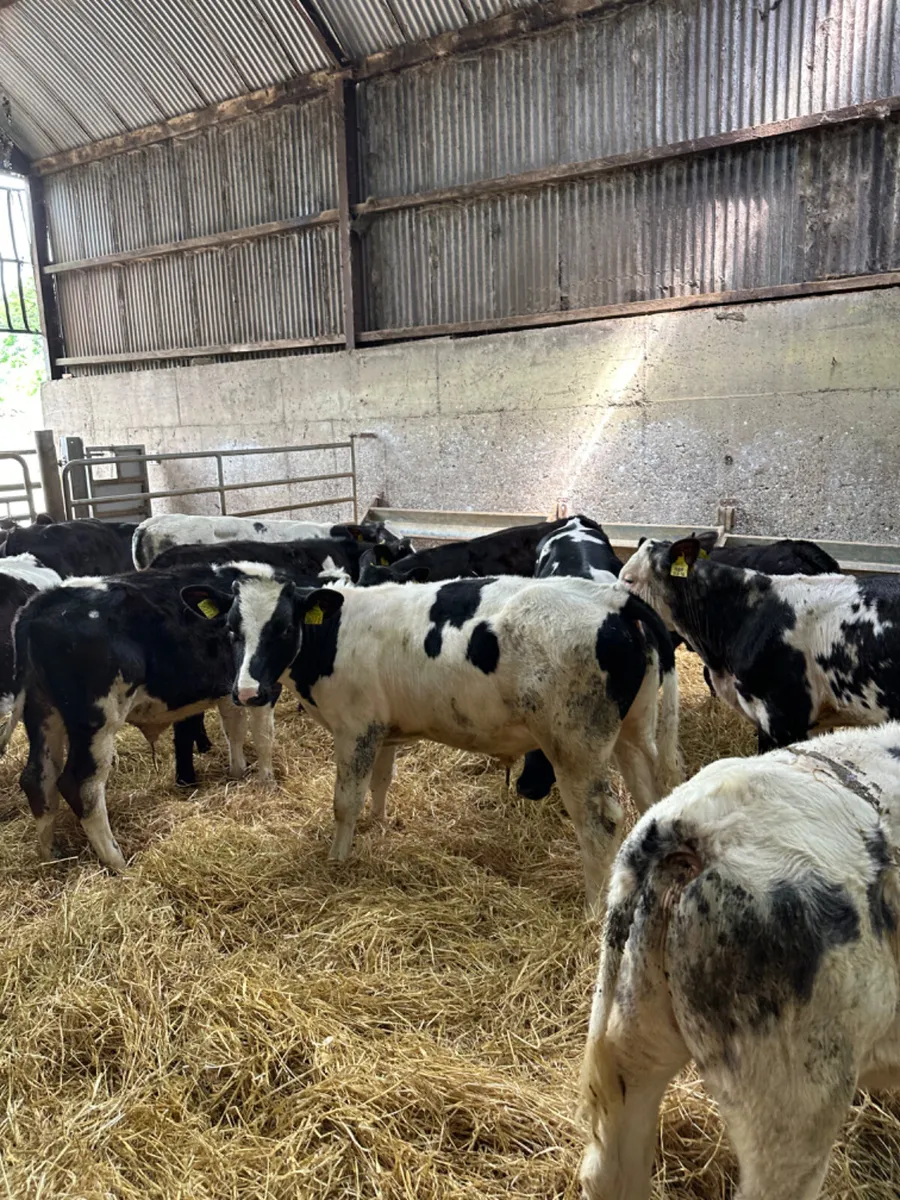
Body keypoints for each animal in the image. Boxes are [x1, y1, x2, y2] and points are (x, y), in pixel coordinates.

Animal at [14, 565, 284, 869]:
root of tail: (40, 604)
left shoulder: (231, 690)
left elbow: (234, 731)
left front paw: (238, 775)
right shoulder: (263, 688)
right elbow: (263, 737)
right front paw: (267, 783)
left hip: (42, 712)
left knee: (38, 779)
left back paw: (50, 857)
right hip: (96, 720)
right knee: (81, 786)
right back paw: (117, 862)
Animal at [182, 568, 681, 906]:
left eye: (284, 628)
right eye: (231, 629)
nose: (249, 691)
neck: (336, 633)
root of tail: (611, 597)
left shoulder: (355, 729)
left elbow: (345, 800)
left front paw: (338, 859)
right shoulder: (382, 731)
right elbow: (380, 783)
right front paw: (378, 826)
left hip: (576, 745)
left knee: (600, 821)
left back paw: (594, 907)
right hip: (632, 734)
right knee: (648, 800)